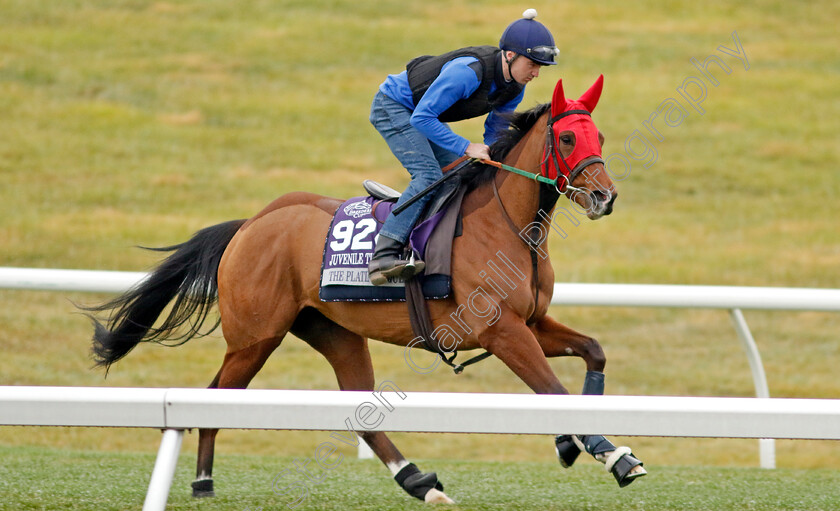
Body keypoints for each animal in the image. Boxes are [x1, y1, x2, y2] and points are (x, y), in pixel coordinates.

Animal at [88, 78, 648, 506]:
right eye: (568, 139)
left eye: (598, 133)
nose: (605, 196)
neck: (508, 225)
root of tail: (250, 224)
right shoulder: (501, 330)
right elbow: (552, 389)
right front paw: (611, 453)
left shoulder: (531, 322)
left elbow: (593, 352)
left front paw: (576, 444)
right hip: (255, 336)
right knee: (214, 396)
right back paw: (203, 481)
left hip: (334, 332)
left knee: (357, 411)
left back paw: (420, 482)